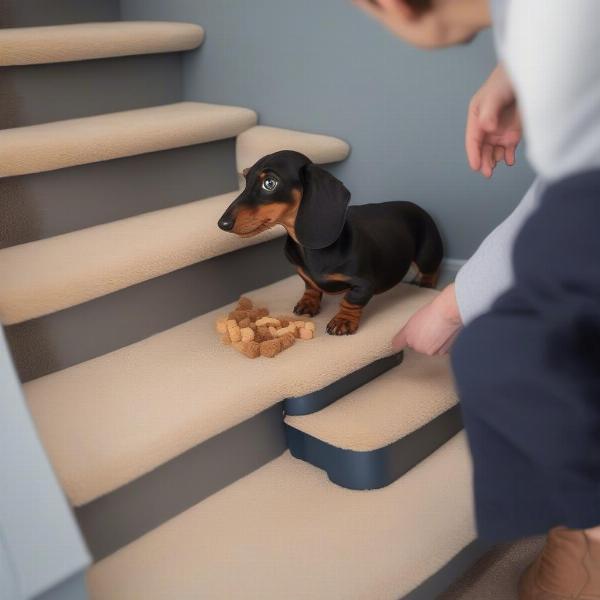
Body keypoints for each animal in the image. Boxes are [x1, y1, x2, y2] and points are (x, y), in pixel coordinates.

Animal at [218, 150, 442, 336]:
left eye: (270, 183)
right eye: (245, 179)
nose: (222, 224)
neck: (308, 248)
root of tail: (416, 206)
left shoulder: (364, 284)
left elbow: (350, 300)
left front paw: (343, 321)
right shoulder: (303, 273)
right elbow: (310, 285)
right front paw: (308, 303)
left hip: (427, 255)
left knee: (431, 270)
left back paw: (426, 285)